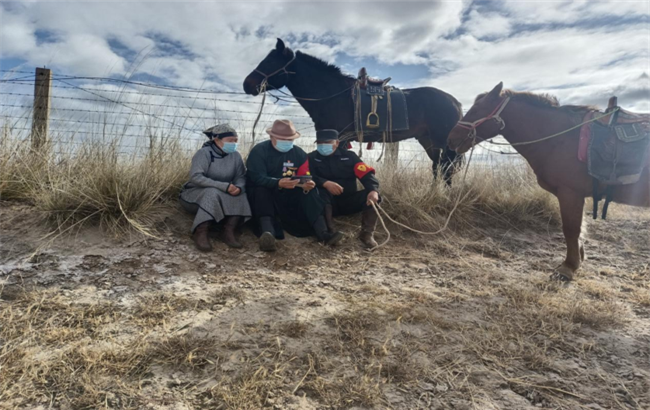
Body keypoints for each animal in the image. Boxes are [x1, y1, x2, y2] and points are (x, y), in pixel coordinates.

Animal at [243, 38, 460, 183]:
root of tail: (454, 102)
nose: (247, 84)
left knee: (445, 170)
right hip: (429, 141)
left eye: (270, 61)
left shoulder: (338, 139)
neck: (332, 94)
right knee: (439, 169)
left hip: (441, 142)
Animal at [446, 82, 648, 282]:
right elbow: (578, 229)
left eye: (477, 109)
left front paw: (568, 267)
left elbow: (571, 229)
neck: (561, 137)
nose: (451, 138)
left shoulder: (570, 193)